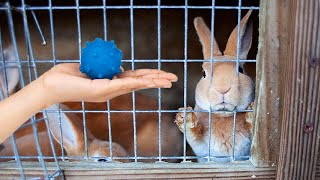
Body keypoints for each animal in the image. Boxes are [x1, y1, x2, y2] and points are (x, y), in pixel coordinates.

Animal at [174, 9, 254, 162]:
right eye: (204, 73)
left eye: (240, 70)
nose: (223, 89)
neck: (223, 116)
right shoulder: (201, 149)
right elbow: (194, 135)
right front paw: (185, 117)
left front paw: (252, 111)